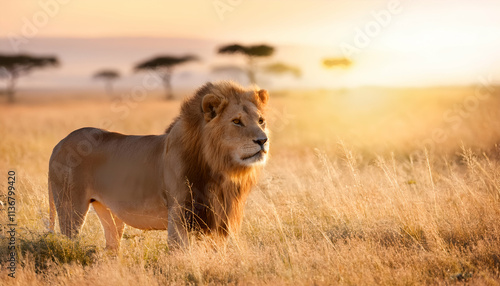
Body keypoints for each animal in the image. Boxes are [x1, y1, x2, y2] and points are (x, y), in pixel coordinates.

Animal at [47, 81, 270, 250]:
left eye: (261, 121)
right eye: (237, 121)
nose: (263, 140)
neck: (219, 169)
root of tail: (60, 143)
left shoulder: (221, 218)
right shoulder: (179, 216)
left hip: (108, 212)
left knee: (111, 246)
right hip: (70, 208)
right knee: (69, 242)